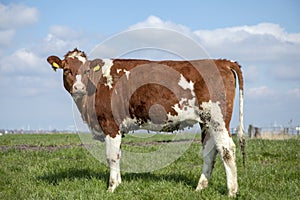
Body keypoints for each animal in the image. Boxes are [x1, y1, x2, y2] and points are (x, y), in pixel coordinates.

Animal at [46, 48, 244, 197]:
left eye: (86, 71)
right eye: (66, 70)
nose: (79, 88)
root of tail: (222, 61)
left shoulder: (110, 124)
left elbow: (111, 156)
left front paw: (111, 187)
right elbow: (118, 154)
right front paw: (119, 184)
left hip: (218, 120)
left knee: (227, 150)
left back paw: (232, 191)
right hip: (206, 122)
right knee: (210, 152)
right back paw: (200, 188)